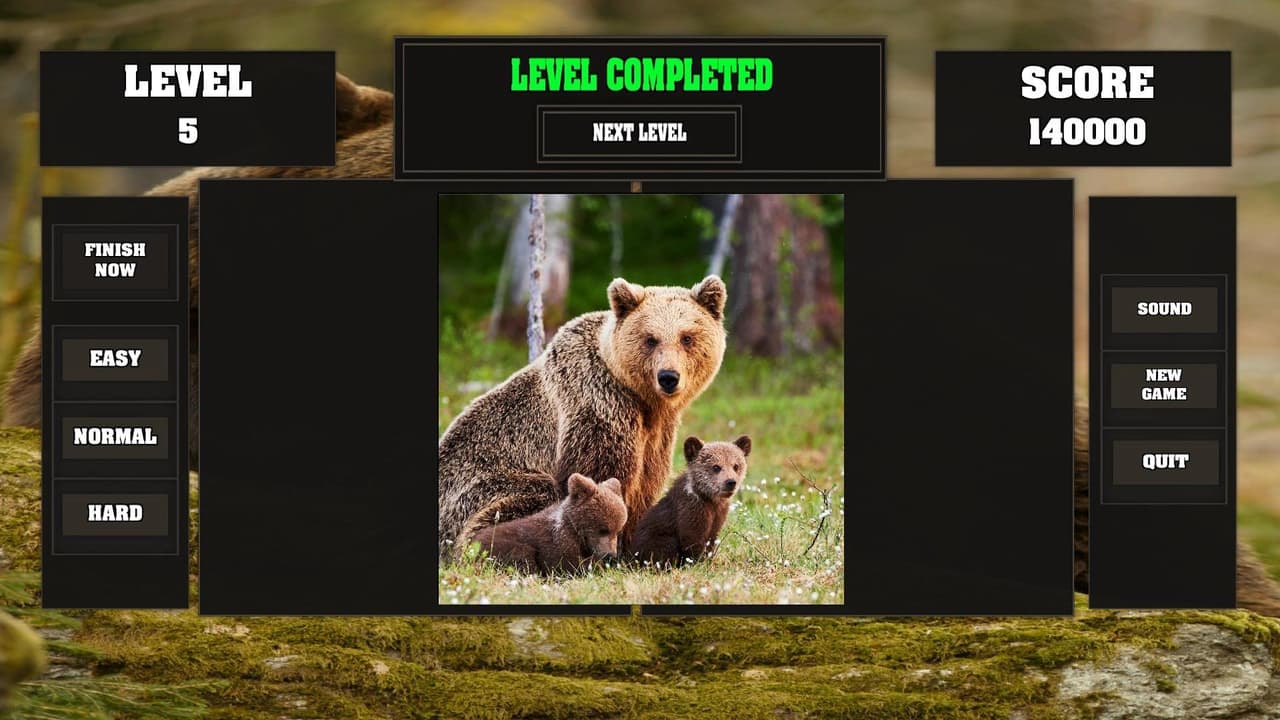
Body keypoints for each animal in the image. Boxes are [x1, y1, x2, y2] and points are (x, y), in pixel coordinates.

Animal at [438, 275, 729, 559]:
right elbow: (600, 476)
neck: (641, 399)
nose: (668, 377)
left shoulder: (656, 433)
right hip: (477, 489)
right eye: (650, 338)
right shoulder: (598, 404)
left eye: (687, 337)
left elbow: (645, 483)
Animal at [630, 435, 750, 567]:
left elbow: (711, 540)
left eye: (736, 466)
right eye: (716, 467)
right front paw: (696, 563)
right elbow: (692, 541)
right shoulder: (691, 512)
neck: (709, 499)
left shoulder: (718, 515)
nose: (731, 482)